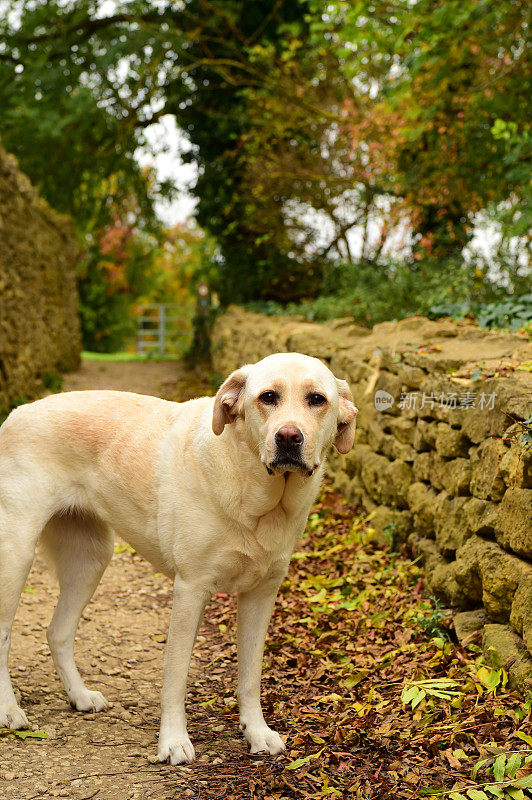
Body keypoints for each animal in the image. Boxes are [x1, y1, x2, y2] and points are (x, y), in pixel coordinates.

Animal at [2, 354, 358, 764]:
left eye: (317, 399)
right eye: (268, 397)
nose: (288, 437)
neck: (257, 497)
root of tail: (16, 413)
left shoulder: (261, 596)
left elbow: (250, 677)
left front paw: (256, 732)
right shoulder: (191, 589)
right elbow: (175, 677)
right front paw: (173, 741)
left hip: (90, 560)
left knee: (58, 631)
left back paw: (79, 696)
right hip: (16, 555)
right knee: (4, 634)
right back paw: (8, 710)